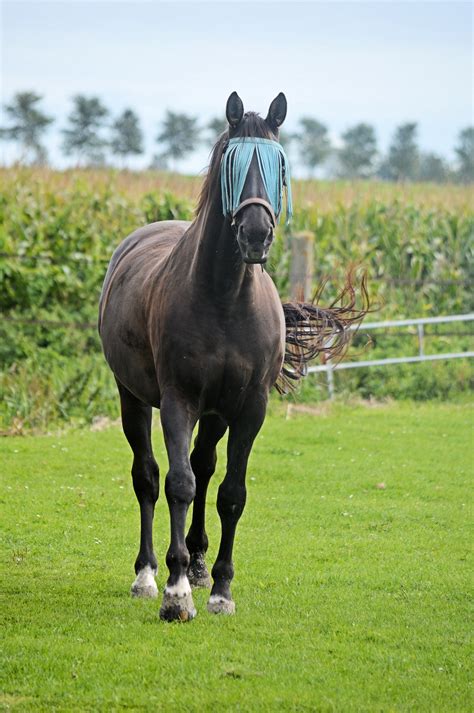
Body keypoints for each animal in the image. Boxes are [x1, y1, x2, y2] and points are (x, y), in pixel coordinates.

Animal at [99, 92, 366, 620]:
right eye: (230, 163)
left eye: (279, 165)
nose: (256, 234)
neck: (224, 297)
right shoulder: (178, 401)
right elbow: (177, 484)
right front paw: (176, 592)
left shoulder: (248, 409)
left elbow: (231, 493)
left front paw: (220, 587)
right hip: (132, 397)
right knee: (149, 477)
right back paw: (148, 574)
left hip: (215, 413)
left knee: (204, 467)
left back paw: (200, 565)